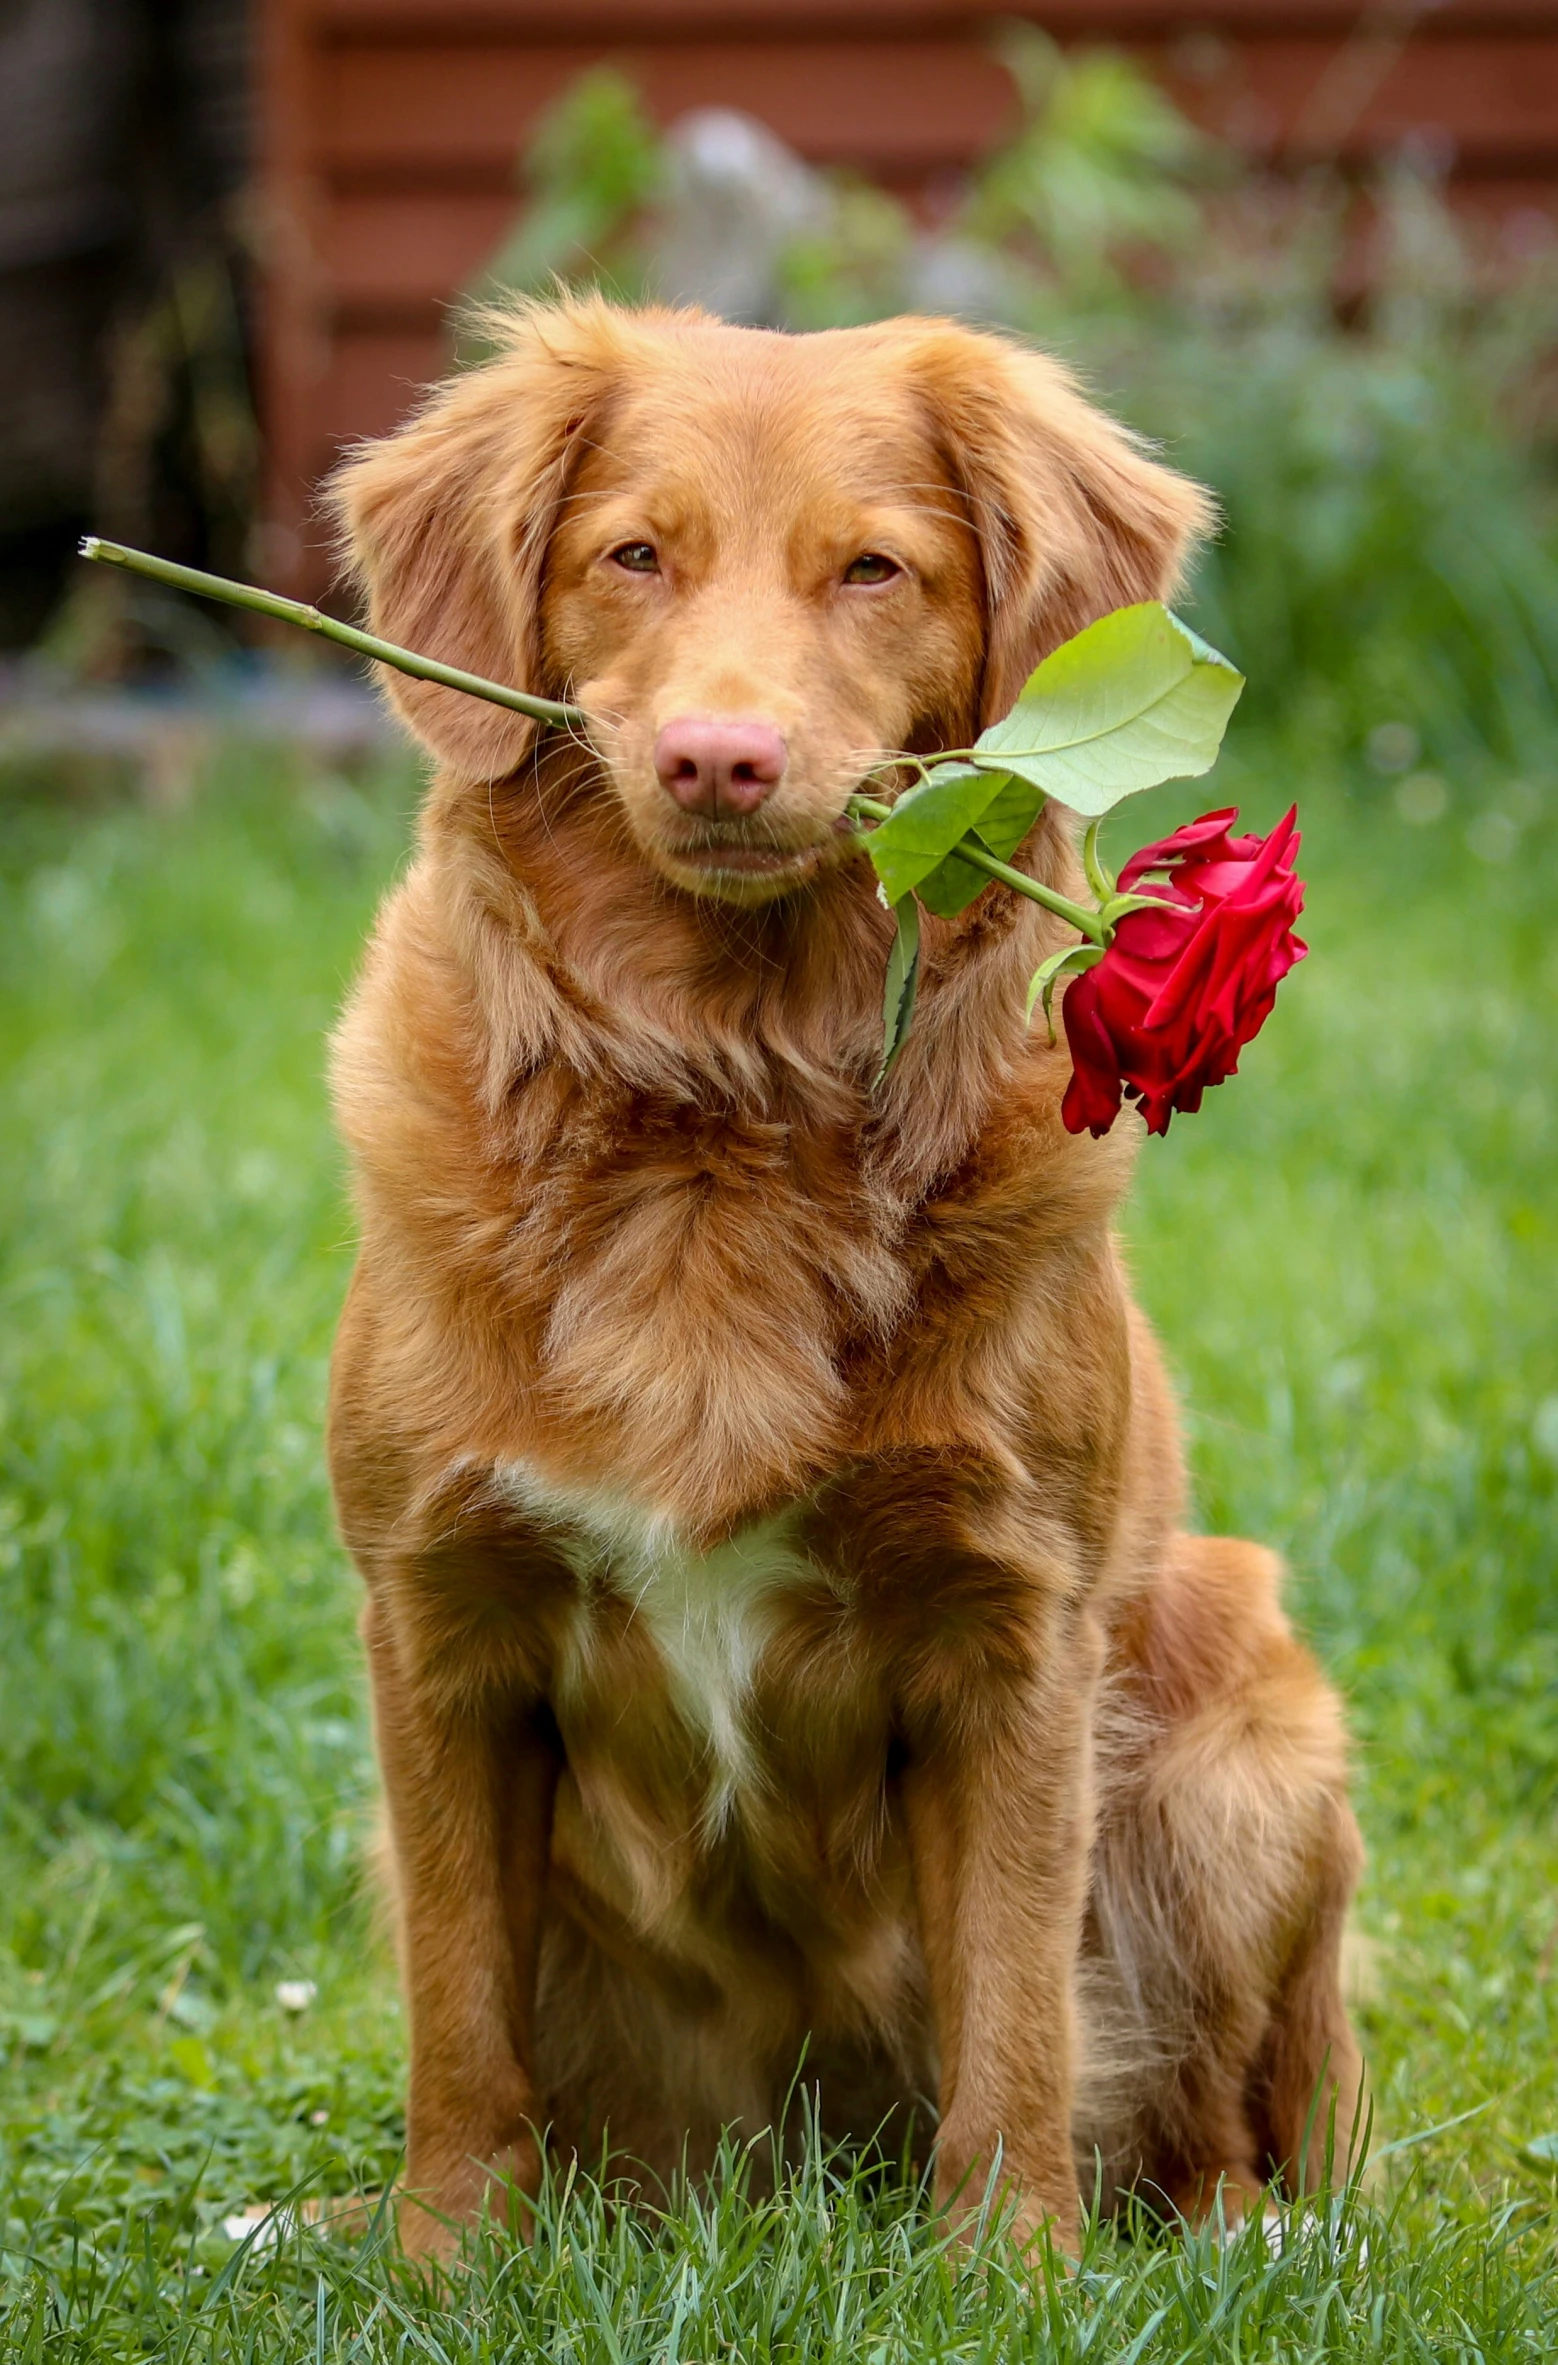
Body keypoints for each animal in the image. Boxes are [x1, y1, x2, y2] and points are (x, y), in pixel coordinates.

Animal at [328, 290, 1361, 2251]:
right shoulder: (438, 1618)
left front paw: (1010, 2265)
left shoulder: (1011, 1634)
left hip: (1241, 1729)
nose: (718, 758)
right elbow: (458, 2011)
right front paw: (446, 2256)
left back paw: (1228, 2234)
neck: (725, 1105)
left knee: (1220, 2119)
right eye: (631, 556)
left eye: (872, 570)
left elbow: (1016, 2013)